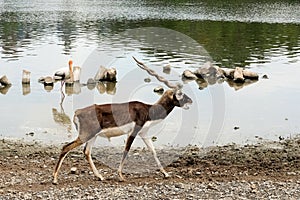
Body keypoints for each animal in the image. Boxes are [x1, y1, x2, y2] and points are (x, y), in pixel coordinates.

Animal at [52, 56, 192, 184]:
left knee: (86, 152)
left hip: (93, 135)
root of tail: (78, 112)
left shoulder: (144, 133)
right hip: (86, 134)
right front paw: (120, 175)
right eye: (180, 94)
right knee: (66, 148)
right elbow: (126, 151)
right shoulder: (133, 132)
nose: (190, 101)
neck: (148, 110)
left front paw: (165, 173)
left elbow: (153, 151)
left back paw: (100, 176)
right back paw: (54, 179)